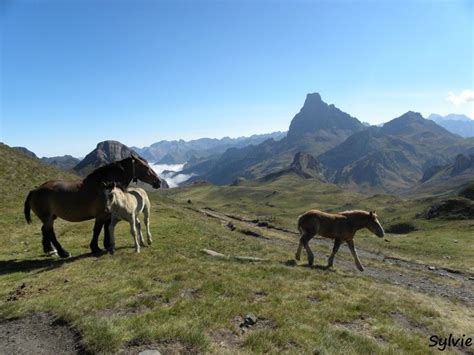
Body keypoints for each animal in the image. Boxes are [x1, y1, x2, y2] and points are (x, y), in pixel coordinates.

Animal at [24, 156, 165, 258]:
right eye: (145, 166)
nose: (158, 182)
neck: (103, 186)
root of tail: (35, 190)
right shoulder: (102, 215)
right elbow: (98, 230)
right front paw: (96, 247)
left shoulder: (108, 215)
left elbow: (106, 228)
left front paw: (107, 245)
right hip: (48, 218)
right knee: (50, 232)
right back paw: (63, 252)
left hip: (50, 217)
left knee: (44, 230)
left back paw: (50, 250)